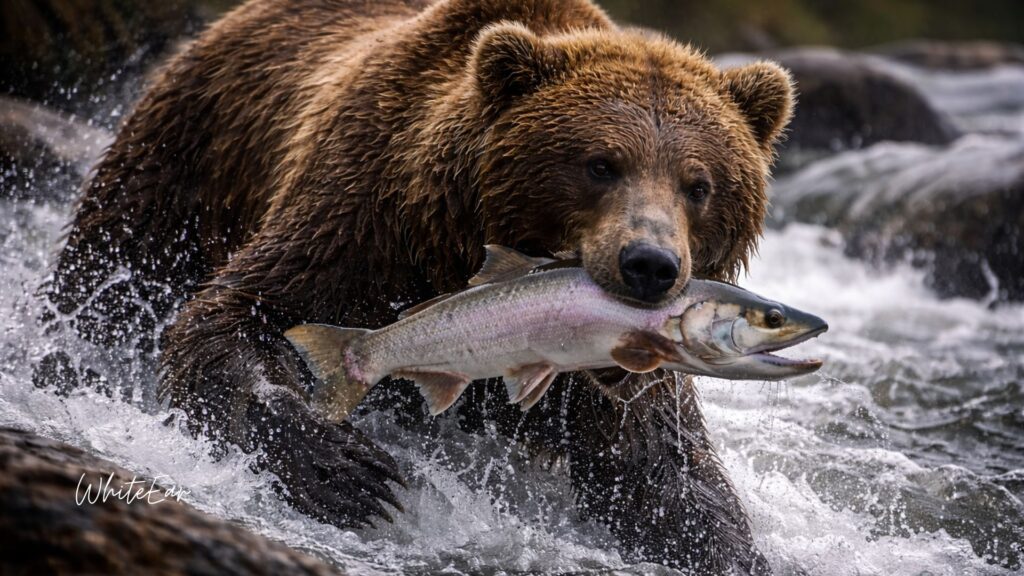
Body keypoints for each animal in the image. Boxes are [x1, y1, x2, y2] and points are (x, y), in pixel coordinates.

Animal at [42, 0, 793, 573]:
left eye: (699, 184)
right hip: (187, 162)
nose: (650, 265)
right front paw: (345, 471)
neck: (460, 238)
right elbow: (233, 316)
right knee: (108, 275)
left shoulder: (615, 378)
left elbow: (662, 471)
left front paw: (727, 548)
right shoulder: (362, 220)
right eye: (600, 163)